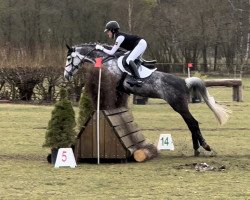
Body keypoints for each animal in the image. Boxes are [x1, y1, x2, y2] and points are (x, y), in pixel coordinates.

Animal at [64, 43, 230, 156]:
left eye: (68, 58)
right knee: (191, 124)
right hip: (180, 106)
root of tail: (184, 82)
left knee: (193, 123)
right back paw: (196, 149)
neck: (106, 60)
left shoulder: (112, 84)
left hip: (179, 105)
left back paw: (205, 146)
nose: (66, 75)